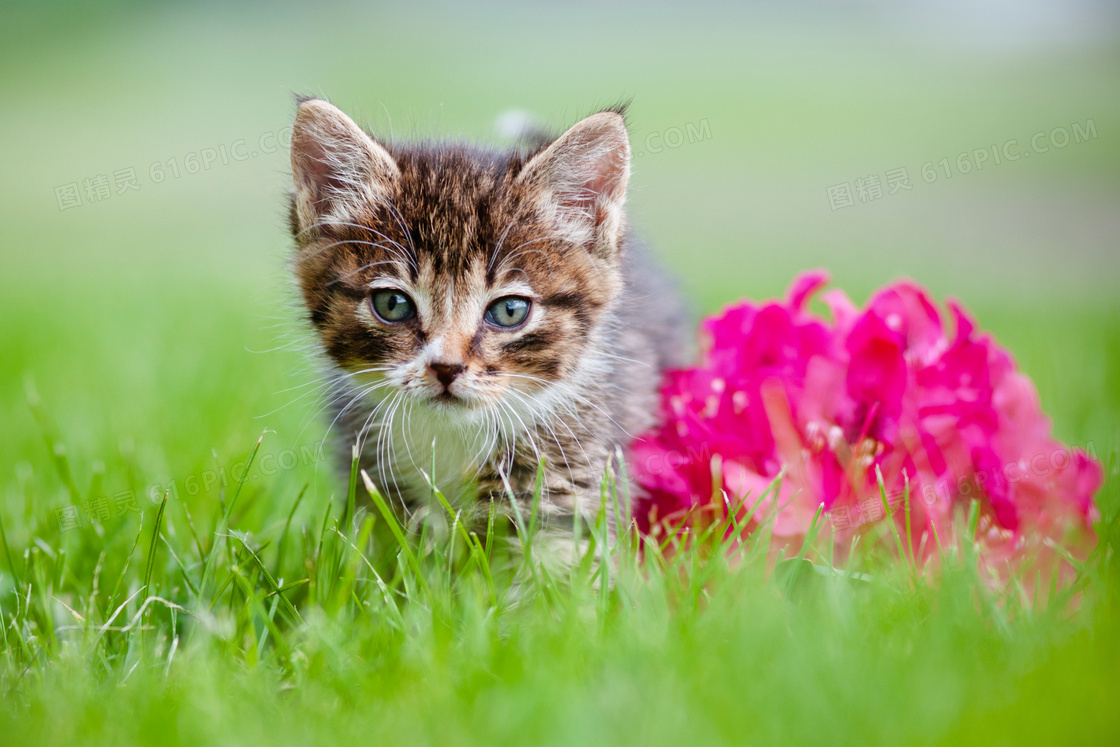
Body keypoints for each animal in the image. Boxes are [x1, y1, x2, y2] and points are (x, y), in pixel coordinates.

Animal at [286, 96, 689, 546]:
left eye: (509, 311)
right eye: (393, 304)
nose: (446, 367)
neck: (450, 438)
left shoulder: (572, 472)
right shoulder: (370, 477)